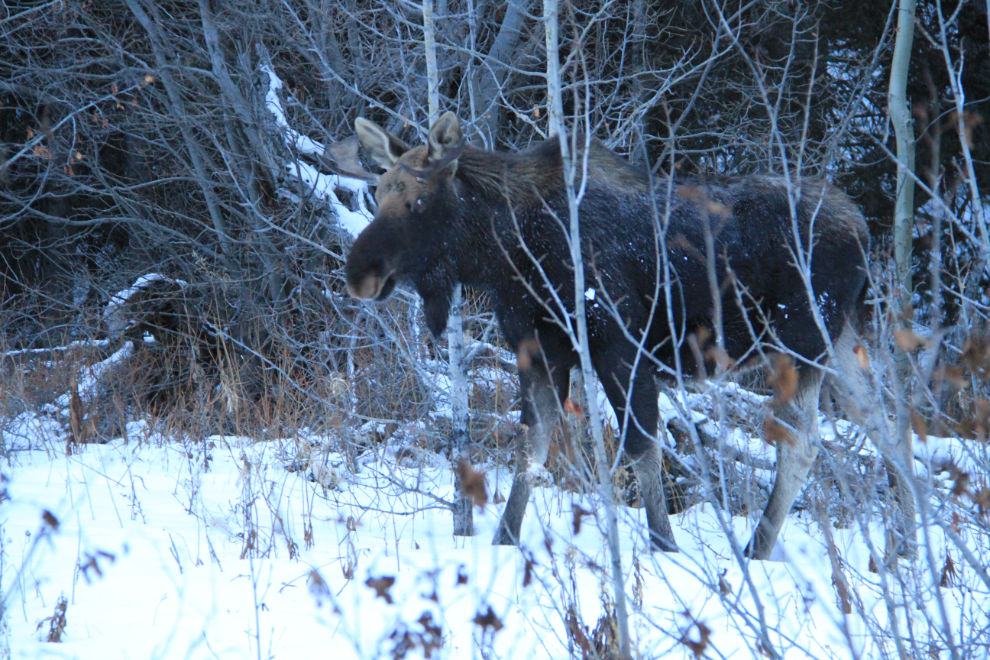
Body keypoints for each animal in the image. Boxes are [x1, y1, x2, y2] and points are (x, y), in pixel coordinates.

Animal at [344, 111, 920, 560]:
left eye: (419, 200)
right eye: (378, 191)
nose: (359, 273)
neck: (507, 248)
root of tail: (864, 229)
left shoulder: (620, 343)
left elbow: (642, 447)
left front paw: (665, 546)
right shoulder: (539, 347)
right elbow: (533, 445)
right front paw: (504, 540)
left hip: (801, 340)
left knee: (804, 442)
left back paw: (759, 549)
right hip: (843, 339)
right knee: (888, 425)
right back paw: (902, 551)